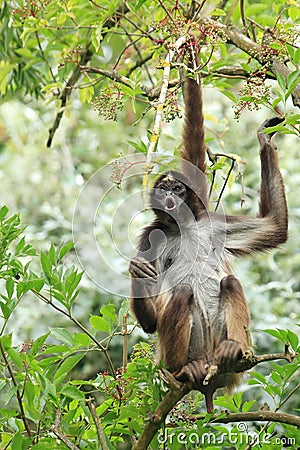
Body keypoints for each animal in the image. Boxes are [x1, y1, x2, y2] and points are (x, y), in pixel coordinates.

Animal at [129, 56, 288, 412]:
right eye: (162, 189)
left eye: (176, 188)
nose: (170, 196)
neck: (183, 227)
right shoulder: (151, 234)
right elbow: (150, 323)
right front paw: (136, 271)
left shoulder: (213, 223)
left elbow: (275, 226)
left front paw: (266, 139)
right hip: (174, 355)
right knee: (182, 294)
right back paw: (184, 371)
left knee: (229, 283)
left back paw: (234, 352)